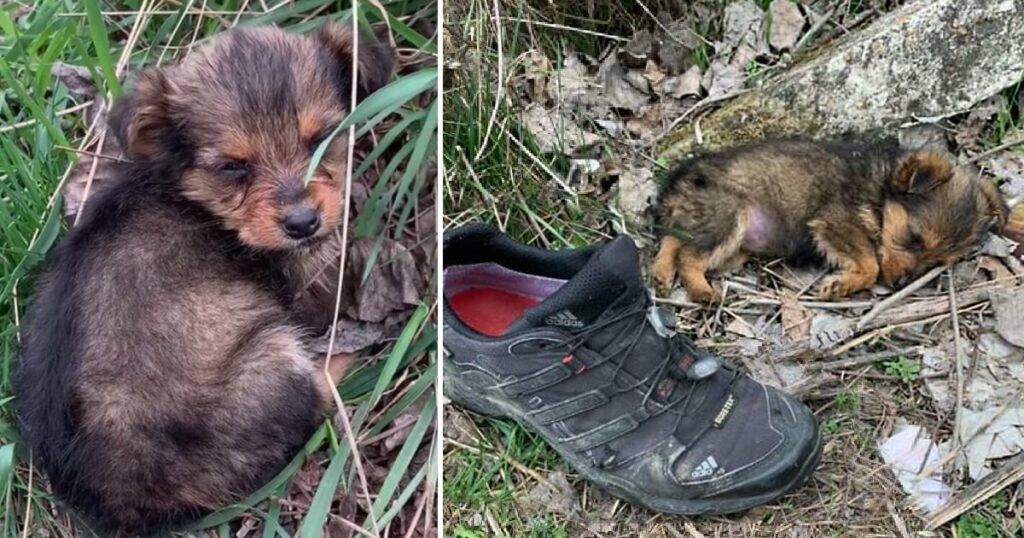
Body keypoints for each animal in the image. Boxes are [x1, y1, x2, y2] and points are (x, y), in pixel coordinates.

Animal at [14, 22, 393, 532]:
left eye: (319, 139)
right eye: (233, 166)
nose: (302, 223)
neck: (194, 197)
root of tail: (125, 501)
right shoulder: (312, 283)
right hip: (272, 361)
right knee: (315, 399)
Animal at [651, 138, 1003, 301]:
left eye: (937, 262)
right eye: (914, 238)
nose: (900, 285)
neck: (879, 191)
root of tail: (679, 181)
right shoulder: (835, 222)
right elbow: (871, 264)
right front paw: (841, 285)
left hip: (719, 232)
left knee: (674, 238)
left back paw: (660, 273)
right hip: (729, 215)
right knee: (688, 255)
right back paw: (700, 290)